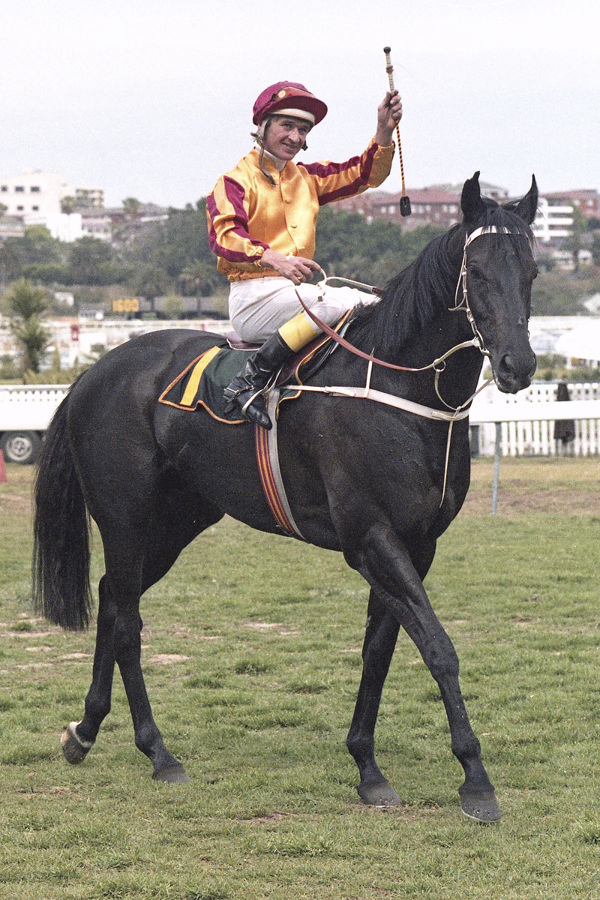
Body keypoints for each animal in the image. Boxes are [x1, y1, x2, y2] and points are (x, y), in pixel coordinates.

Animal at [33, 172, 538, 823]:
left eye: (531, 269)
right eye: (476, 271)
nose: (518, 364)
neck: (398, 389)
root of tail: (96, 370)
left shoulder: (415, 544)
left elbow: (381, 650)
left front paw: (367, 765)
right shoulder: (372, 539)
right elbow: (438, 647)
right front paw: (475, 778)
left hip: (175, 523)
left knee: (113, 600)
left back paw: (86, 730)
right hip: (124, 518)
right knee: (127, 621)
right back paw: (158, 752)